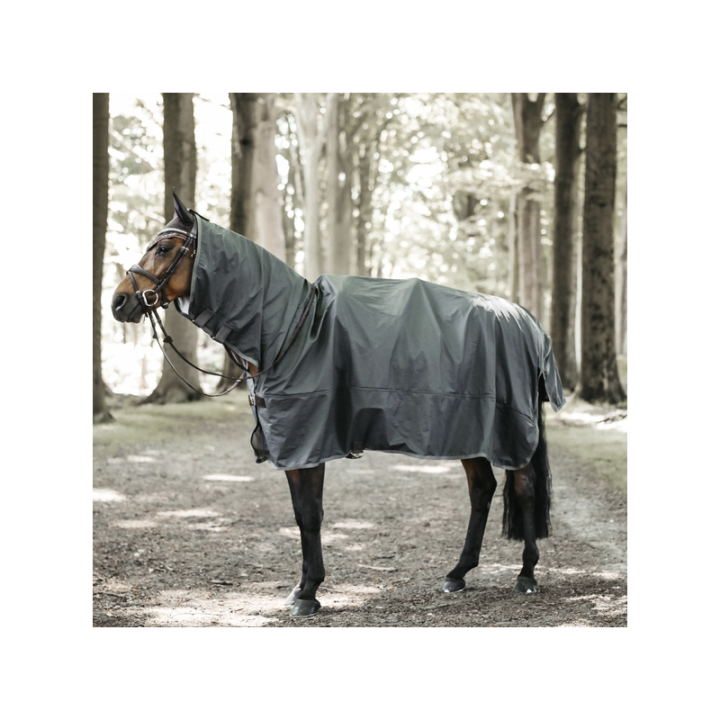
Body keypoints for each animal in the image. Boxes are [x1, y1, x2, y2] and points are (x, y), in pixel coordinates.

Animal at [111, 194, 565, 618]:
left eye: (164, 247)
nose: (118, 302)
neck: (290, 330)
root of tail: (526, 321)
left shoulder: (308, 442)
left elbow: (311, 515)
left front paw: (309, 593)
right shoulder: (294, 447)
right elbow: (301, 514)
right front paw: (301, 588)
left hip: (508, 430)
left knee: (523, 489)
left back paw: (526, 574)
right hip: (470, 431)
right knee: (482, 490)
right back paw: (458, 573)